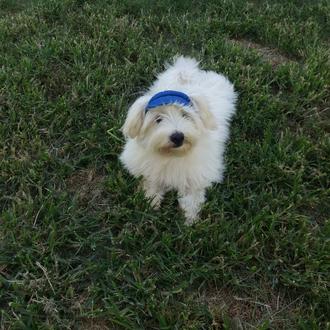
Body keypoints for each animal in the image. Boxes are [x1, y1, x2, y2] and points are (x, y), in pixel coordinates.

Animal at [120, 56, 236, 226]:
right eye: (158, 119)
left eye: (185, 115)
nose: (177, 136)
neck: (174, 155)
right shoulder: (149, 170)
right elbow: (151, 184)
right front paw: (151, 204)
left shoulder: (196, 175)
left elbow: (192, 198)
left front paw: (189, 220)